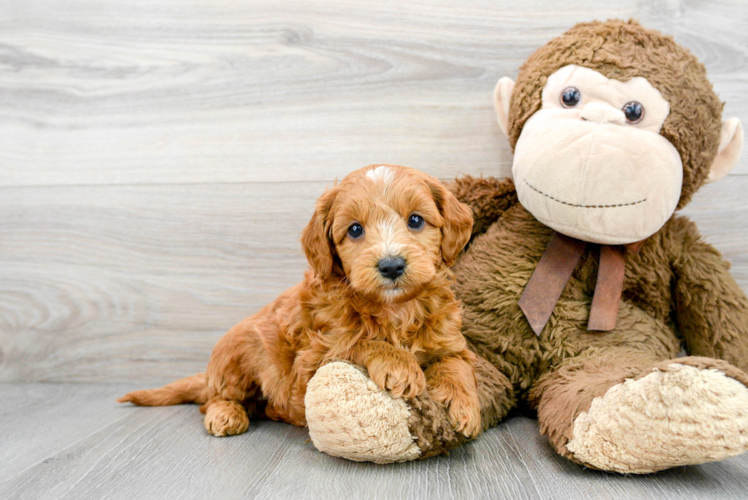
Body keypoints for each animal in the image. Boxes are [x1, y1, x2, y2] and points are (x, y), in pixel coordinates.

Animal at [117, 163, 480, 438]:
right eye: (355, 230)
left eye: (416, 220)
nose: (391, 265)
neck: (396, 308)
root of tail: (207, 376)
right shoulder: (313, 359)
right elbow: (361, 342)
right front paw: (399, 363)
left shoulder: (448, 340)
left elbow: (456, 364)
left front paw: (464, 407)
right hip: (238, 353)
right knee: (215, 399)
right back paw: (226, 414)